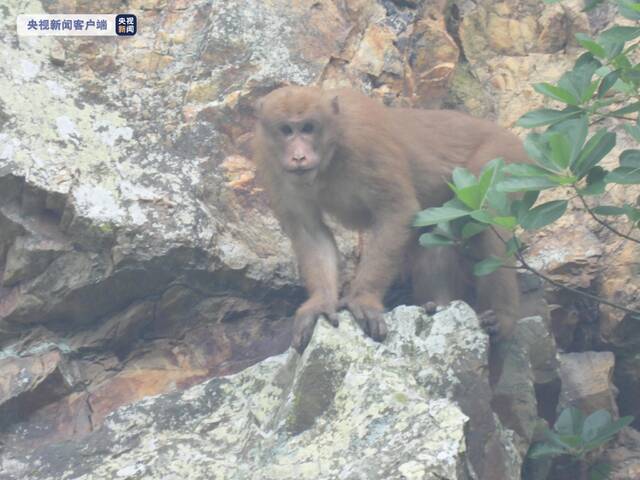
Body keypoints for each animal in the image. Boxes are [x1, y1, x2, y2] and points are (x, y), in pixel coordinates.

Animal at [252, 85, 528, 352]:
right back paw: (436, 305)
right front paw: (320, 303)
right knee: (433, 236)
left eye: (308, 128)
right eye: (286, 130)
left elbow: (396, 211)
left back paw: (502, 318)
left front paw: (363, 299)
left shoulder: (365, 139)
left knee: (487, 220)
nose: (298, 156)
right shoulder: (270, 161)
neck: (332, 149)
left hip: (500, 161)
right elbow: (310, 232)